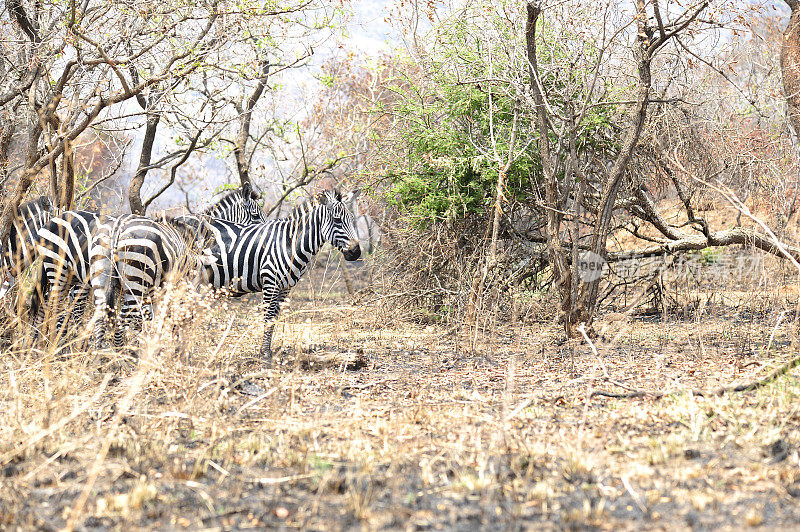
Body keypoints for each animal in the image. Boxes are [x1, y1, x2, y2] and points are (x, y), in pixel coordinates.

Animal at [191, 188, 360, 362]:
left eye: (352, 219)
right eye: (337, 220)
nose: (356, 252)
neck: (289, 243)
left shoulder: (285, 287)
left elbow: (274, 318)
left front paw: (267, 351)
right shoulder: (270, 283)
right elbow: (268, 317)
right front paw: (265, 354)